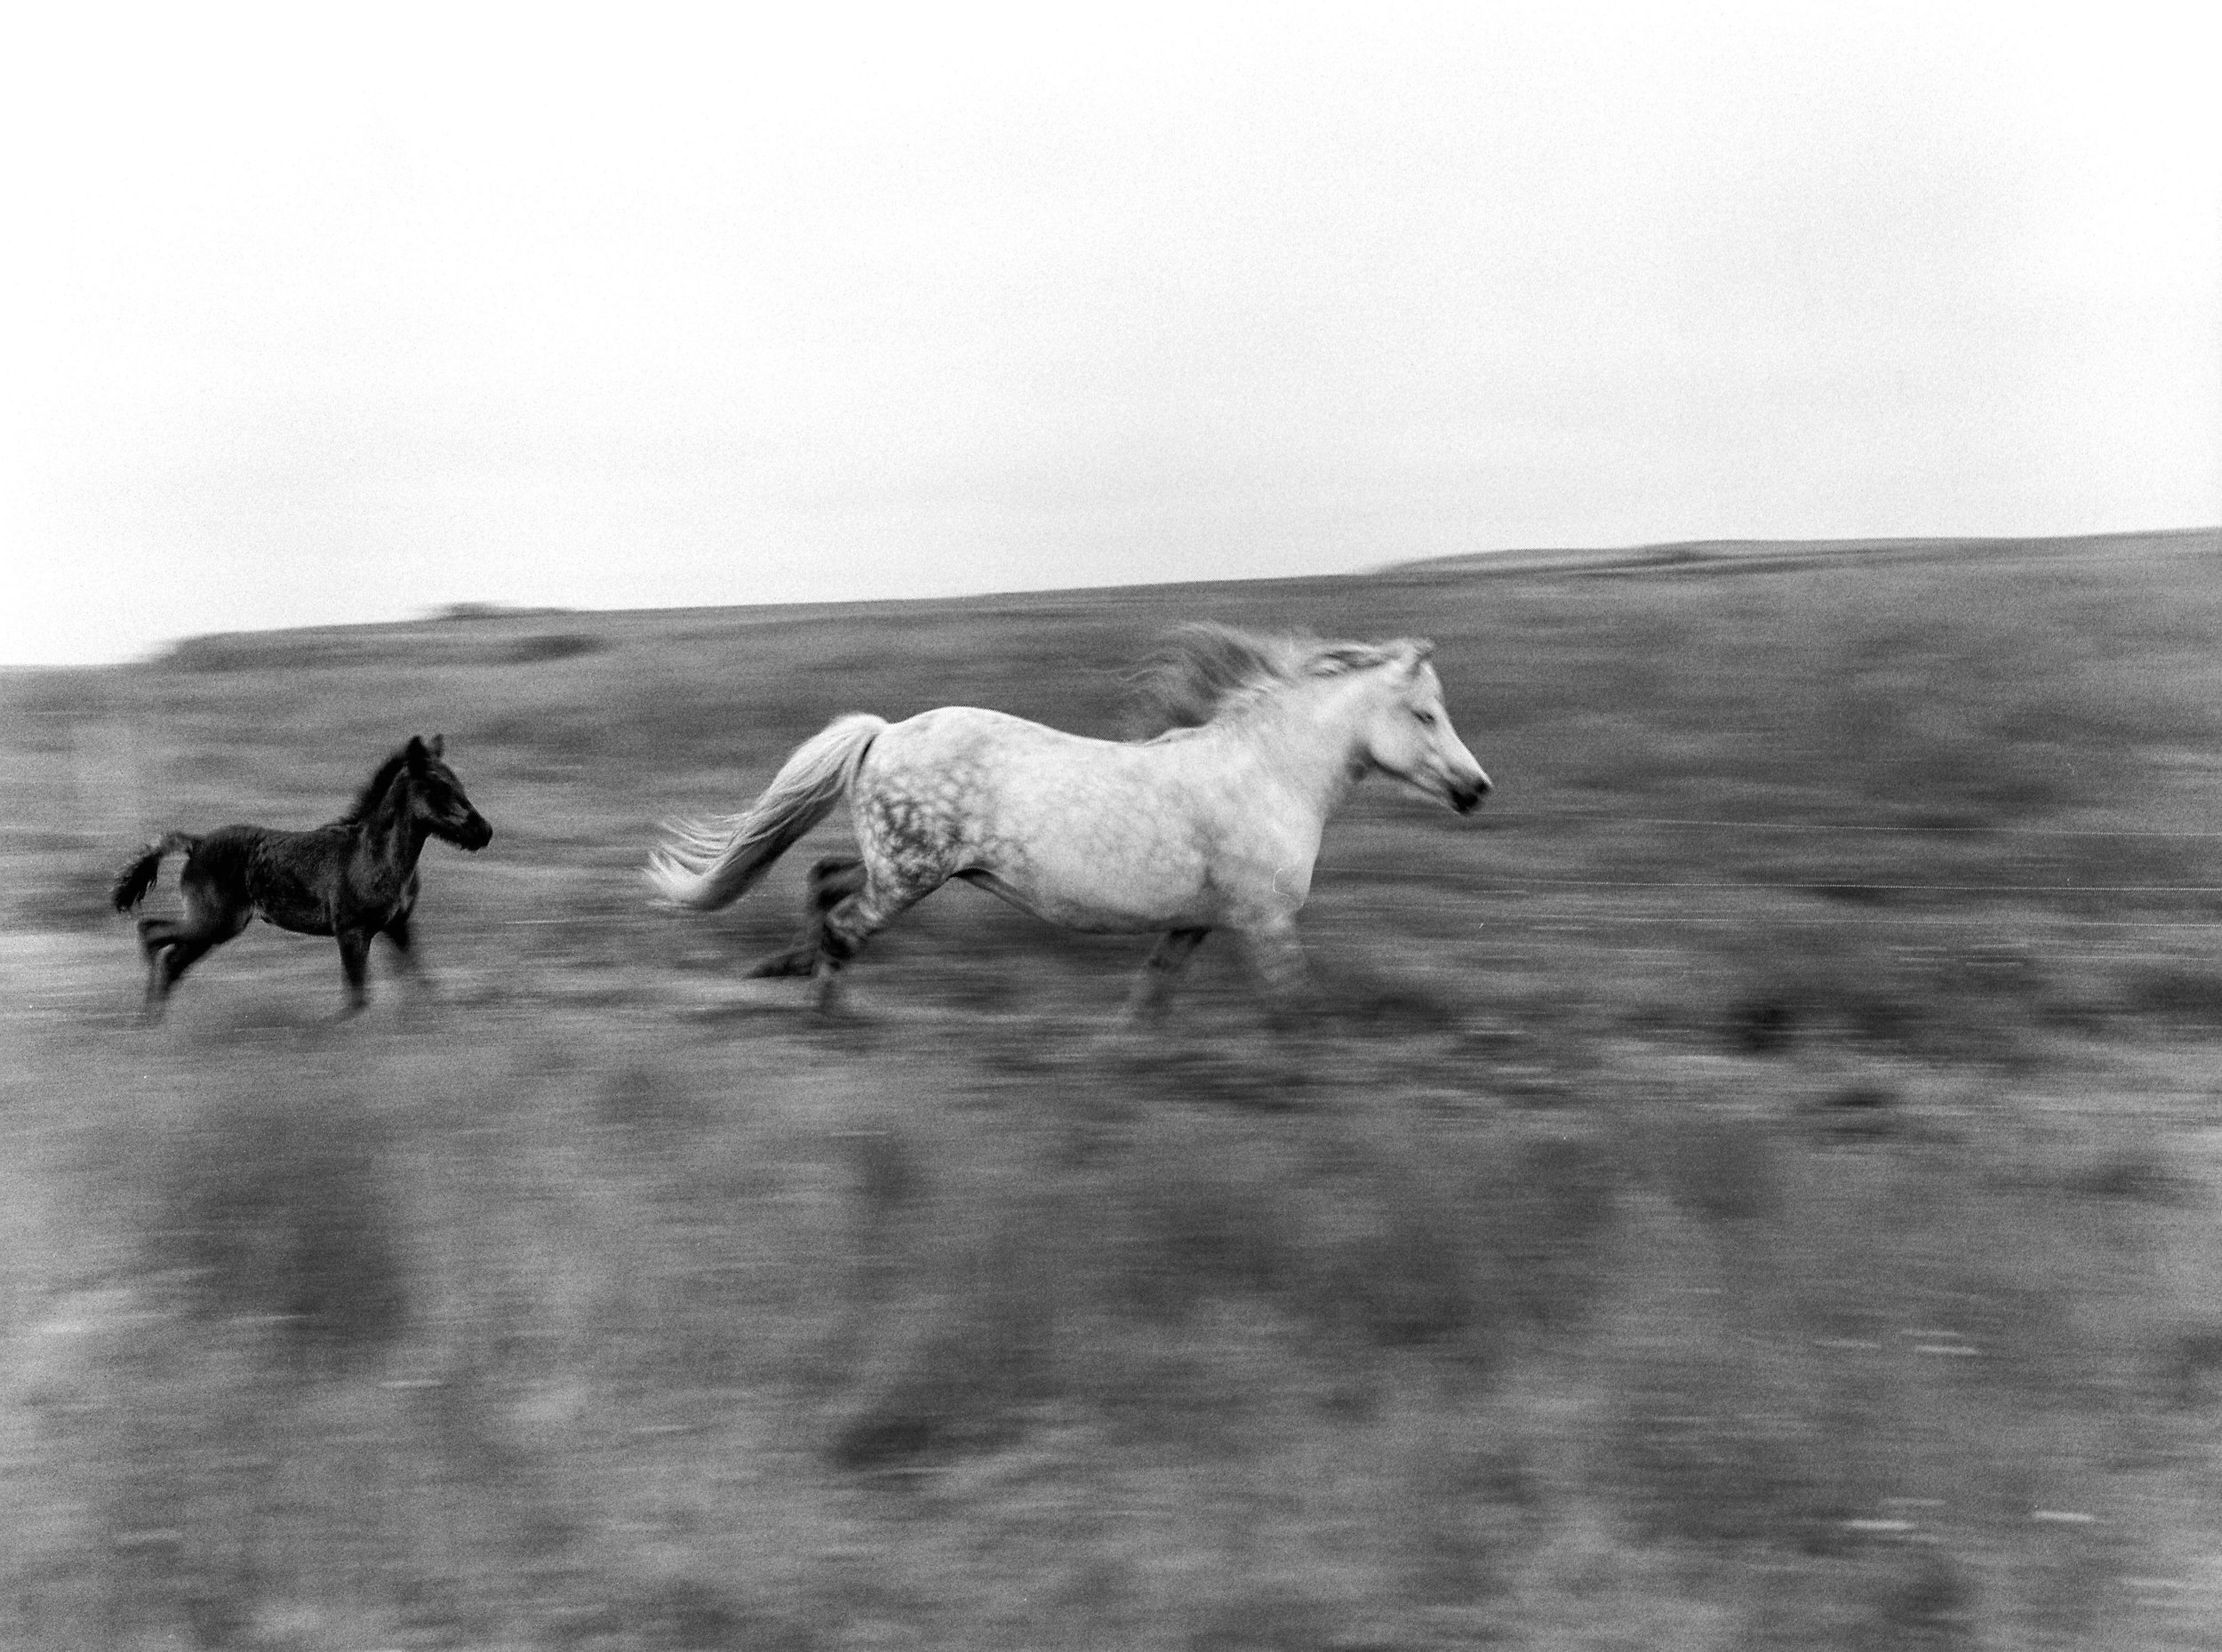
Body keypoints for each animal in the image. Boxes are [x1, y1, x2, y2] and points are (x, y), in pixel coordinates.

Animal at [110, 737, 493, 1021]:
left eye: (458, 782)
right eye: (438, 786)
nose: (484, 832)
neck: (374, 855)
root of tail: (196, 843)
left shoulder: (397, 926)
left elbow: (421, 983)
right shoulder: (351, 930)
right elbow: (358, 997)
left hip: (217, 927)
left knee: (171, 957)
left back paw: (154, 1020)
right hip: (214, 922)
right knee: (153, 934)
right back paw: (148, 1016)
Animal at [644, 626, 1493, 1012]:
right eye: (1425, 714)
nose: (1477, 788)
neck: (1268, 776)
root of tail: (883, 731)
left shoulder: (1194, 924)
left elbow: (1147, 1003)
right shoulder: (1267, 922)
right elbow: (1295, 1011)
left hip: (912, 866)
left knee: (825, 879)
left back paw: (787, 969)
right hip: (910, 875)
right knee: (845, 925)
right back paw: (824, 1006)